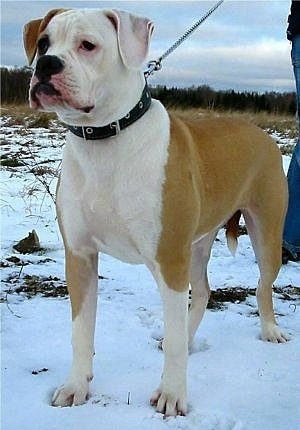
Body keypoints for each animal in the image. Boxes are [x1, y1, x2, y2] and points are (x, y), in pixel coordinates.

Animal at [22, 6, 288, 416]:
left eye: (88, 45)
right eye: (43, 43)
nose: (47, 65)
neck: (104, 138)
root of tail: (261, 132)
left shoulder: (167, 258)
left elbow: (175, 341)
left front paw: (172, 396)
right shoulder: (80, 255)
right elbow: (81, 331)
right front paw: (75, 386)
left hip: (265, 231)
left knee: (262, 284)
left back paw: (270, 330)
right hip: (196, 242)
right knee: (204, 290)